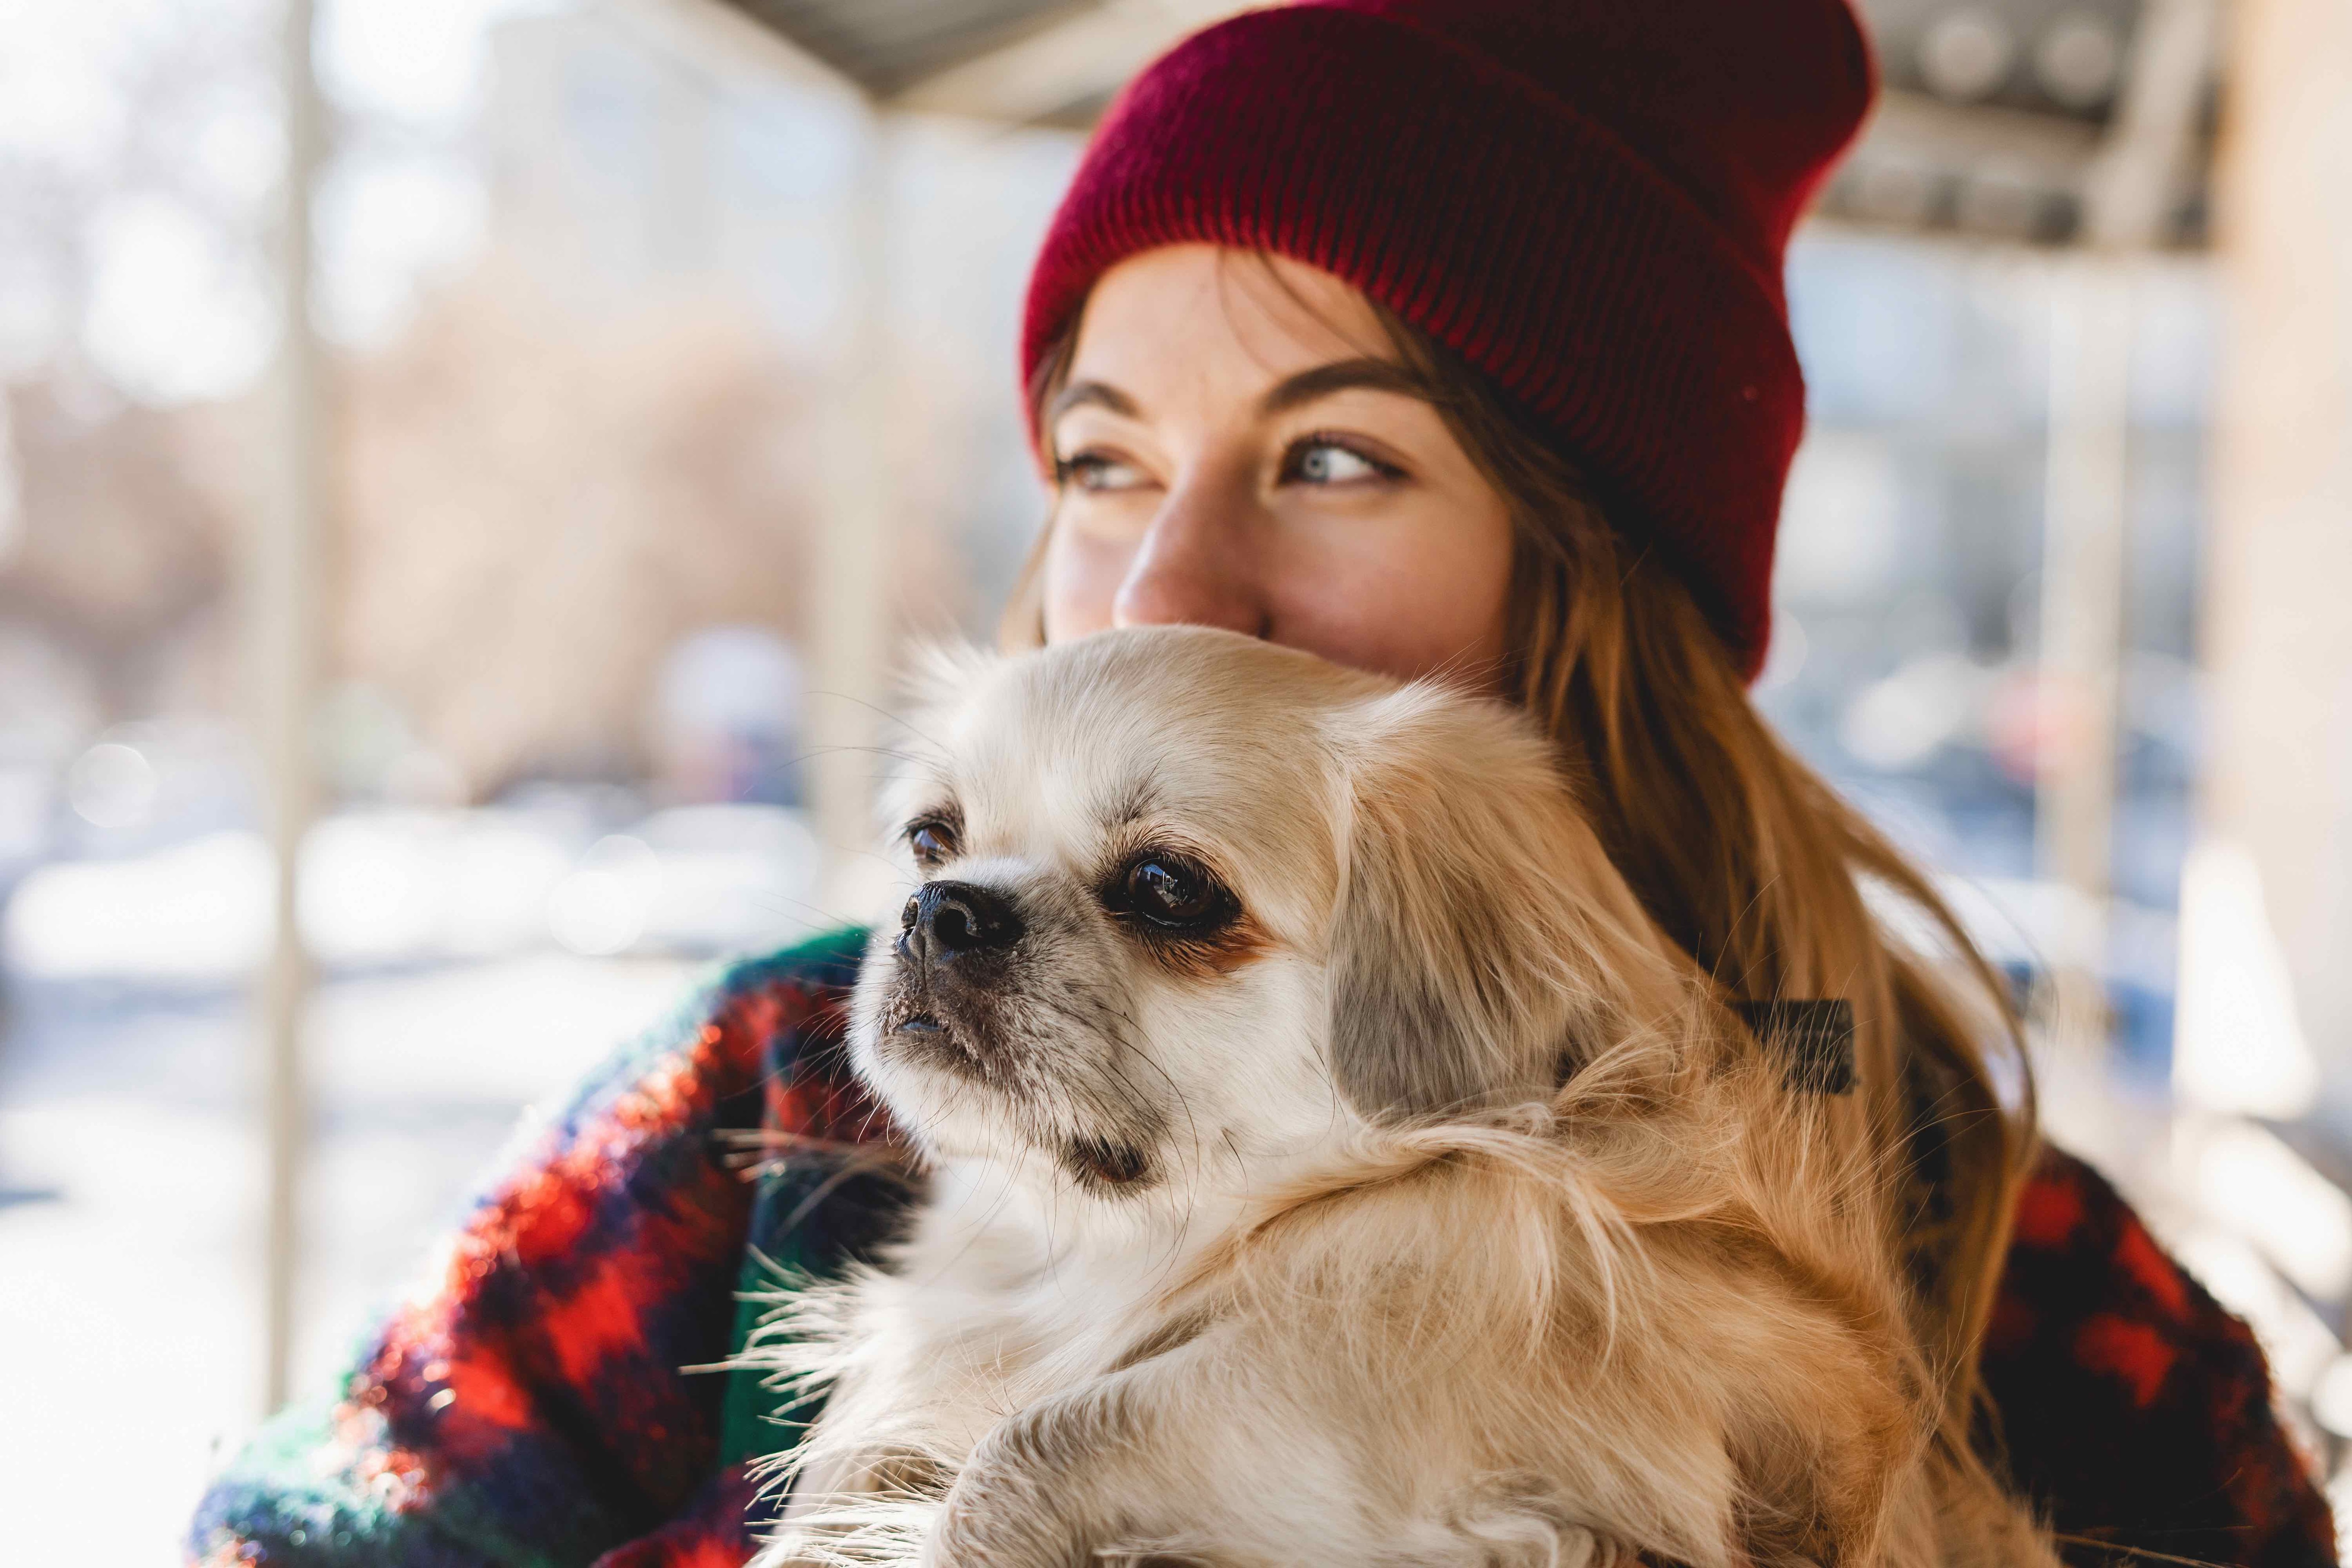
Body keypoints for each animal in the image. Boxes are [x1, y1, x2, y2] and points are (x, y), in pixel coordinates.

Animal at [743, 625, 2051, 1568]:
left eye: (1169, 887)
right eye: (930, 839)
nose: (942, 909)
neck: (1109, 1255)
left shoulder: (1394, 1387)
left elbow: (1029, 1446)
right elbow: (868, 1447)